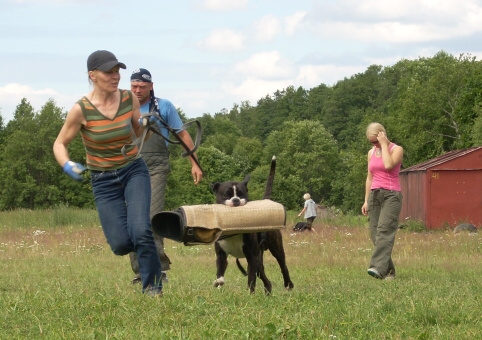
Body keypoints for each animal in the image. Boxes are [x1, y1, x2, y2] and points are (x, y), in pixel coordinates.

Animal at [212, 155, 294, 294]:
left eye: (242, 194)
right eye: (226, 194)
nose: (236, 200)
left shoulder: (251, 257)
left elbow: (251, 279)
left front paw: (250, 295)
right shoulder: (221, 255)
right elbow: (220, 272)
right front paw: (219, 283)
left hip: (276, 249)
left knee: (283, 267)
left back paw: (288, 284)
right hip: (259, 258)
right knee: (266, 279)